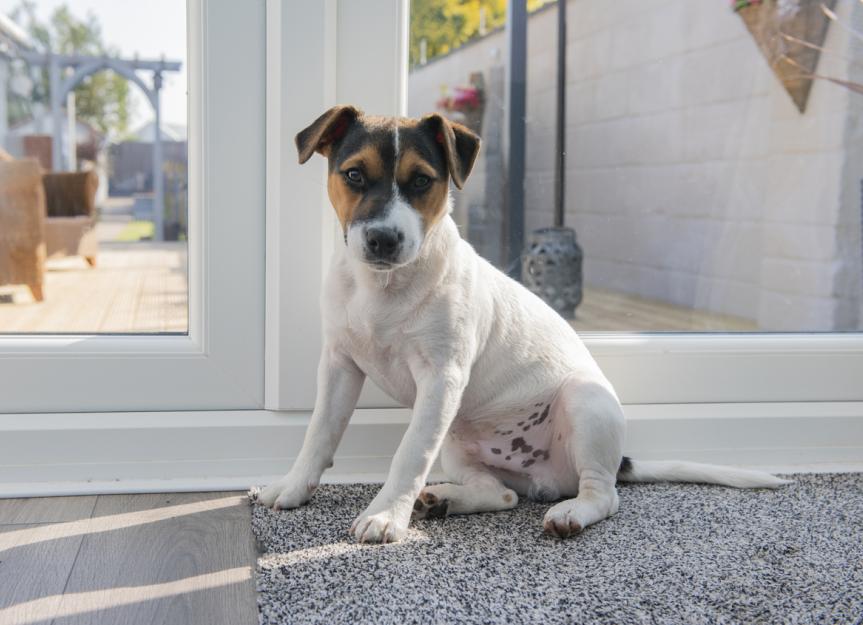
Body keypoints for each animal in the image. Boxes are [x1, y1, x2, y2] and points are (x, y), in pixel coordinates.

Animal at [255, 106, 788, 540]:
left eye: (422, 181)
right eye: (354, 175)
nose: (384, 240)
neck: (383, 289)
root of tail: (546, 479)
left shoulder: (440, 379)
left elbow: (408, 454)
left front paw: (386, 515)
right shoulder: (340, 366)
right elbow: (319, 433)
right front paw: (292, 487)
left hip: (584, 404)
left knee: (603, 494)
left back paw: (569, 513)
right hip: (457, 442)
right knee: (504, 495)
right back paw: (444, 498)